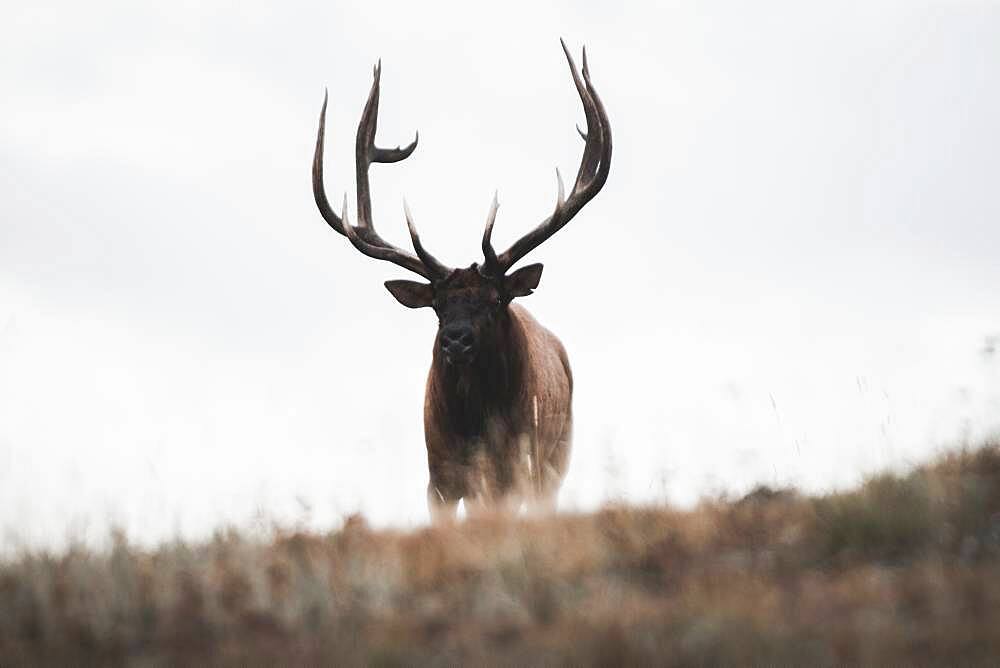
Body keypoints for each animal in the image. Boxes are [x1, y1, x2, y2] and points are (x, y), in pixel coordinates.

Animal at [310, 40, 608, 520]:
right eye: (437, 306)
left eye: (494, 300)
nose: (455, 340)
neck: (476, 428)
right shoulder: (440, 478)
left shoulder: (519, 469)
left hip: (556, 457)